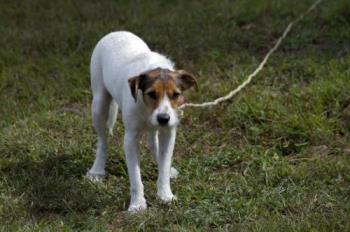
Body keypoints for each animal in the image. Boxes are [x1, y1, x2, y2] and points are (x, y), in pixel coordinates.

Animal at [86, 30, 197, 212]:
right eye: (151, 94)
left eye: (175, 95)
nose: (163, 118)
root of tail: (116, 32)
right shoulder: (130, 138)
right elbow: (135, 177)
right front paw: (138, 204)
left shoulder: (169, 132)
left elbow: (164, 166)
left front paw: (165, 195)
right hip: (99, 104)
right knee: (103, 141)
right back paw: (97, 170)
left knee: (153, 142)